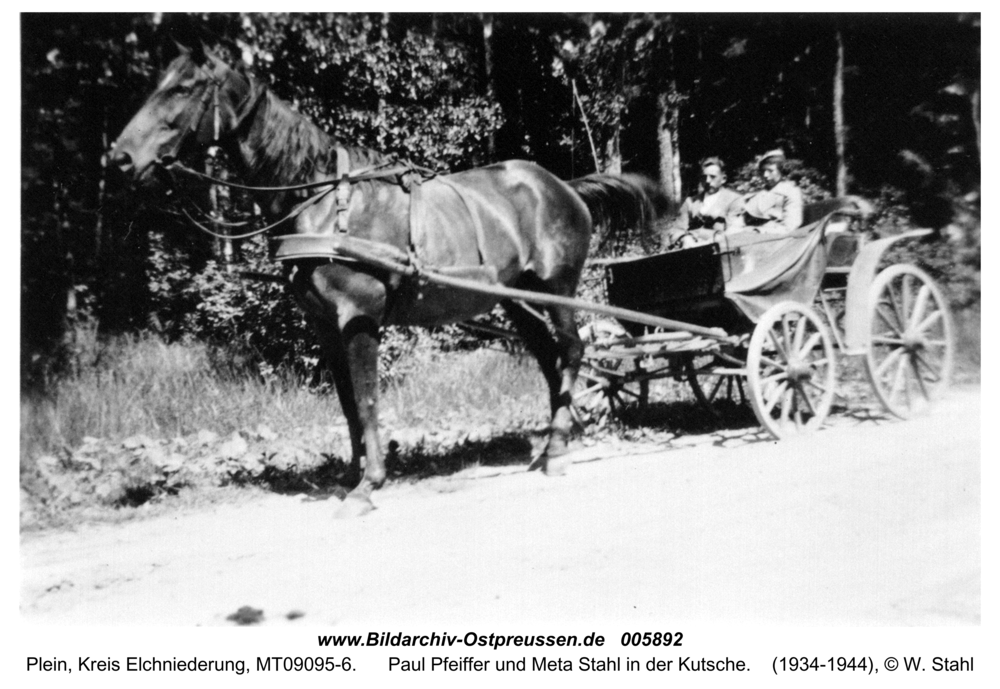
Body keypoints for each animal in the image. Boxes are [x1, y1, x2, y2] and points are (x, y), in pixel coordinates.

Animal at [109, 43, 668, 512]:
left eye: (183, 88)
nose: (119, 158)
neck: (320, 198)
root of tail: (562, 186)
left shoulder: (360, 317)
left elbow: (367, 398)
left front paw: (370, 484)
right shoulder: (325, 327)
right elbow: (347, 404)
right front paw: (352, 475)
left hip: (558, 288)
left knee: (572, 350)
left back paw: (555, 450)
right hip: (515, 299)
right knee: (550, 359)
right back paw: (554, 443)